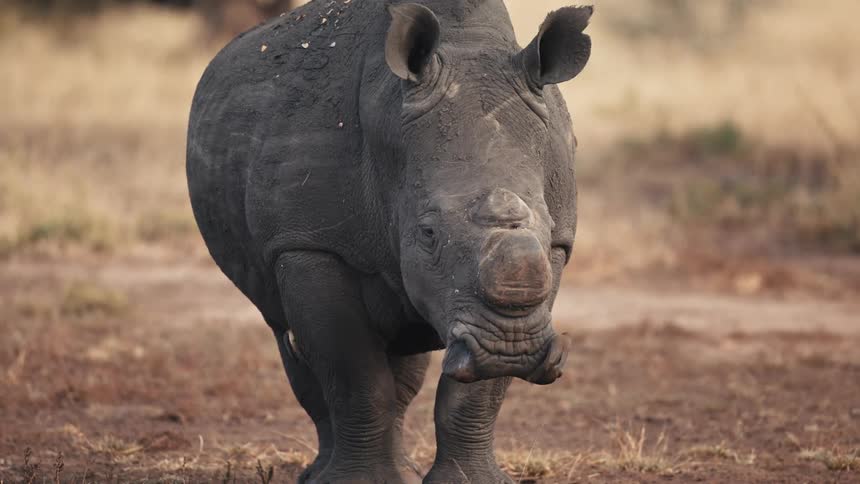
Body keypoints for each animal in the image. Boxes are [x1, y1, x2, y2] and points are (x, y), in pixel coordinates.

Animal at [187, 0, 592, 482]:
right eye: (428, 233)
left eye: (548, 227)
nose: (510, 348)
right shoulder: (310, 244)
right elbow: (354, 373)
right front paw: (359, 481)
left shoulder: (552, 252)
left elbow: (475, 394)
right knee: (290, 338)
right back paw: (322, 475)